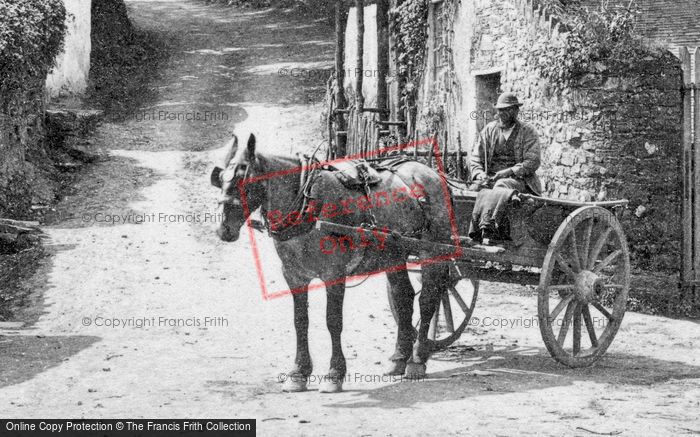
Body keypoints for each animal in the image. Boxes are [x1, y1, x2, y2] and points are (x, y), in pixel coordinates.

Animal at [211, 134, 456, 392]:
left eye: (245, 180)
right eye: (221, 178)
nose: (224, 229)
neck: (308, 202)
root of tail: (432, 173)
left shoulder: (333, 274)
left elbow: (333, 321)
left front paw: (334, 374)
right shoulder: (293, 275)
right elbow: (300, 321)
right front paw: (298, 373)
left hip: (432, 250)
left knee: (428, 300)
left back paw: (417, 359)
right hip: (393, 254)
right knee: (404, 298)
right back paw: (399, 358)